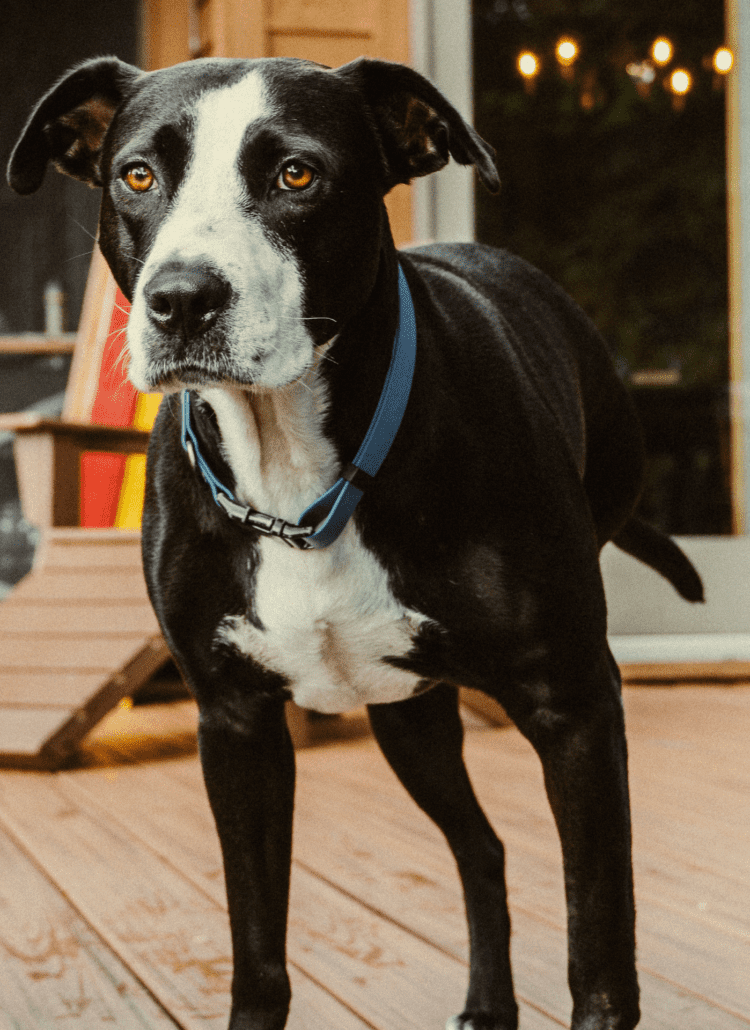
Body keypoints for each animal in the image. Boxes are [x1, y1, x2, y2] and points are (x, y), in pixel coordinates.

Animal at [8, 56, 704, 1030]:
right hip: (407, 717)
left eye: (297, 174)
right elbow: (258, 953)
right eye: (137, 176)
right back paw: (486, 1000)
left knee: (489, 851)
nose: (181, 299)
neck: (297, 480)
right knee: (481, 849)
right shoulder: (236, 727)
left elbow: (599, 950)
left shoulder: (575, 707)